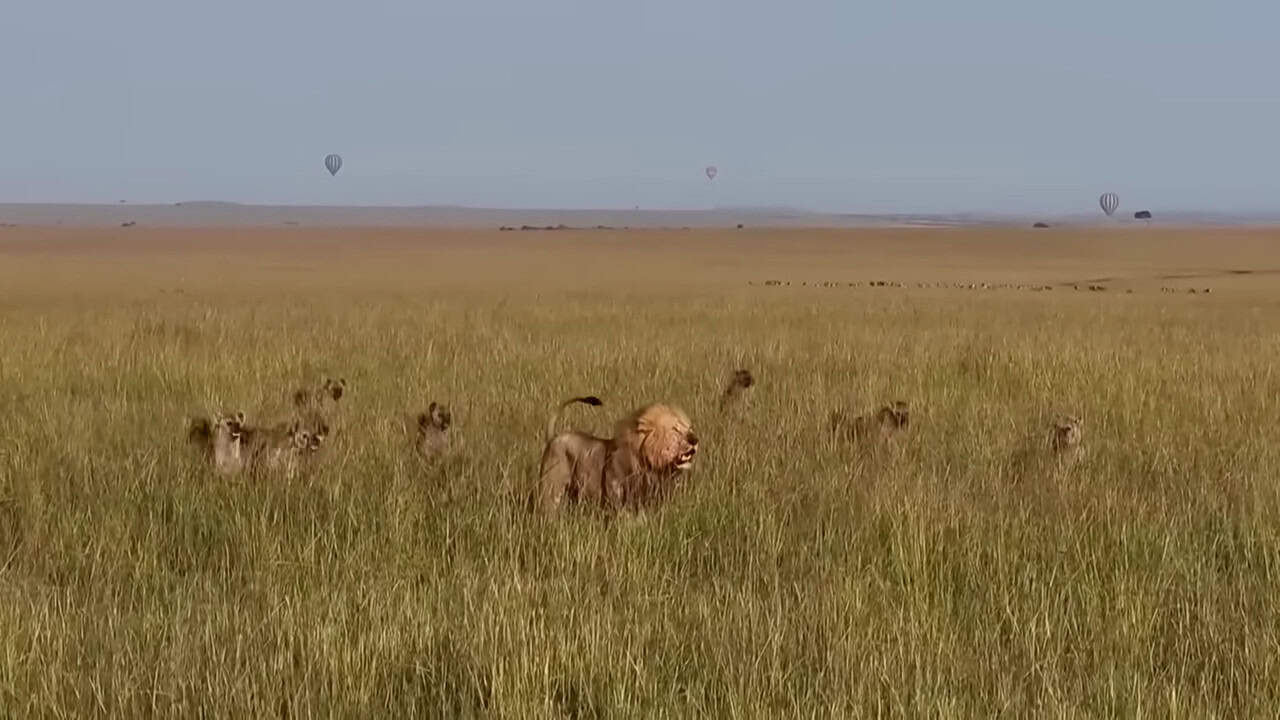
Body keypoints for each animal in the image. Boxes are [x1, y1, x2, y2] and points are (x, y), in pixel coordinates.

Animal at [535, 396, 699, 514]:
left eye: (689, 428)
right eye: (675, 429)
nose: (695, 439)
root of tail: (553, 437)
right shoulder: (615, 492)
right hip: (551, 490)